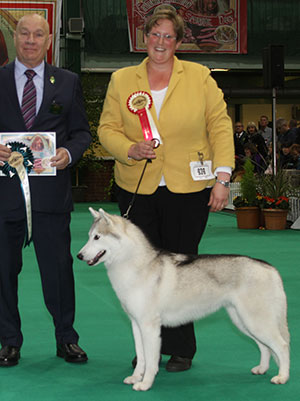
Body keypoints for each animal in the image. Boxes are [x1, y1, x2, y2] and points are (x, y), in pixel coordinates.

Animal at [78, 208, 290, 390]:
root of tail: (270, 268)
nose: (79, 255)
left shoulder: (149, 327)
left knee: (282, 346)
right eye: (89, 236)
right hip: (244, 322)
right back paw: (261, 369)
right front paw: (136, 377)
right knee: (265, 347)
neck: (134, 265)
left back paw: (282, 376)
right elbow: (141, 357)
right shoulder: (136, 324)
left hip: (256, 322)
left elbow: (151, 360)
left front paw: (145, 384)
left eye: (97, 237)